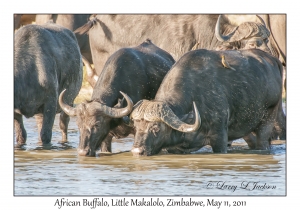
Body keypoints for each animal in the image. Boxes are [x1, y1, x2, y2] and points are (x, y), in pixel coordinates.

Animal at [131, 48, 286, 155]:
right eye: (136, 127)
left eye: (156, 127)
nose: (137, 151)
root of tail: (273, 60)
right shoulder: (176, 148)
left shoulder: (220, 138)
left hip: (268, 118)